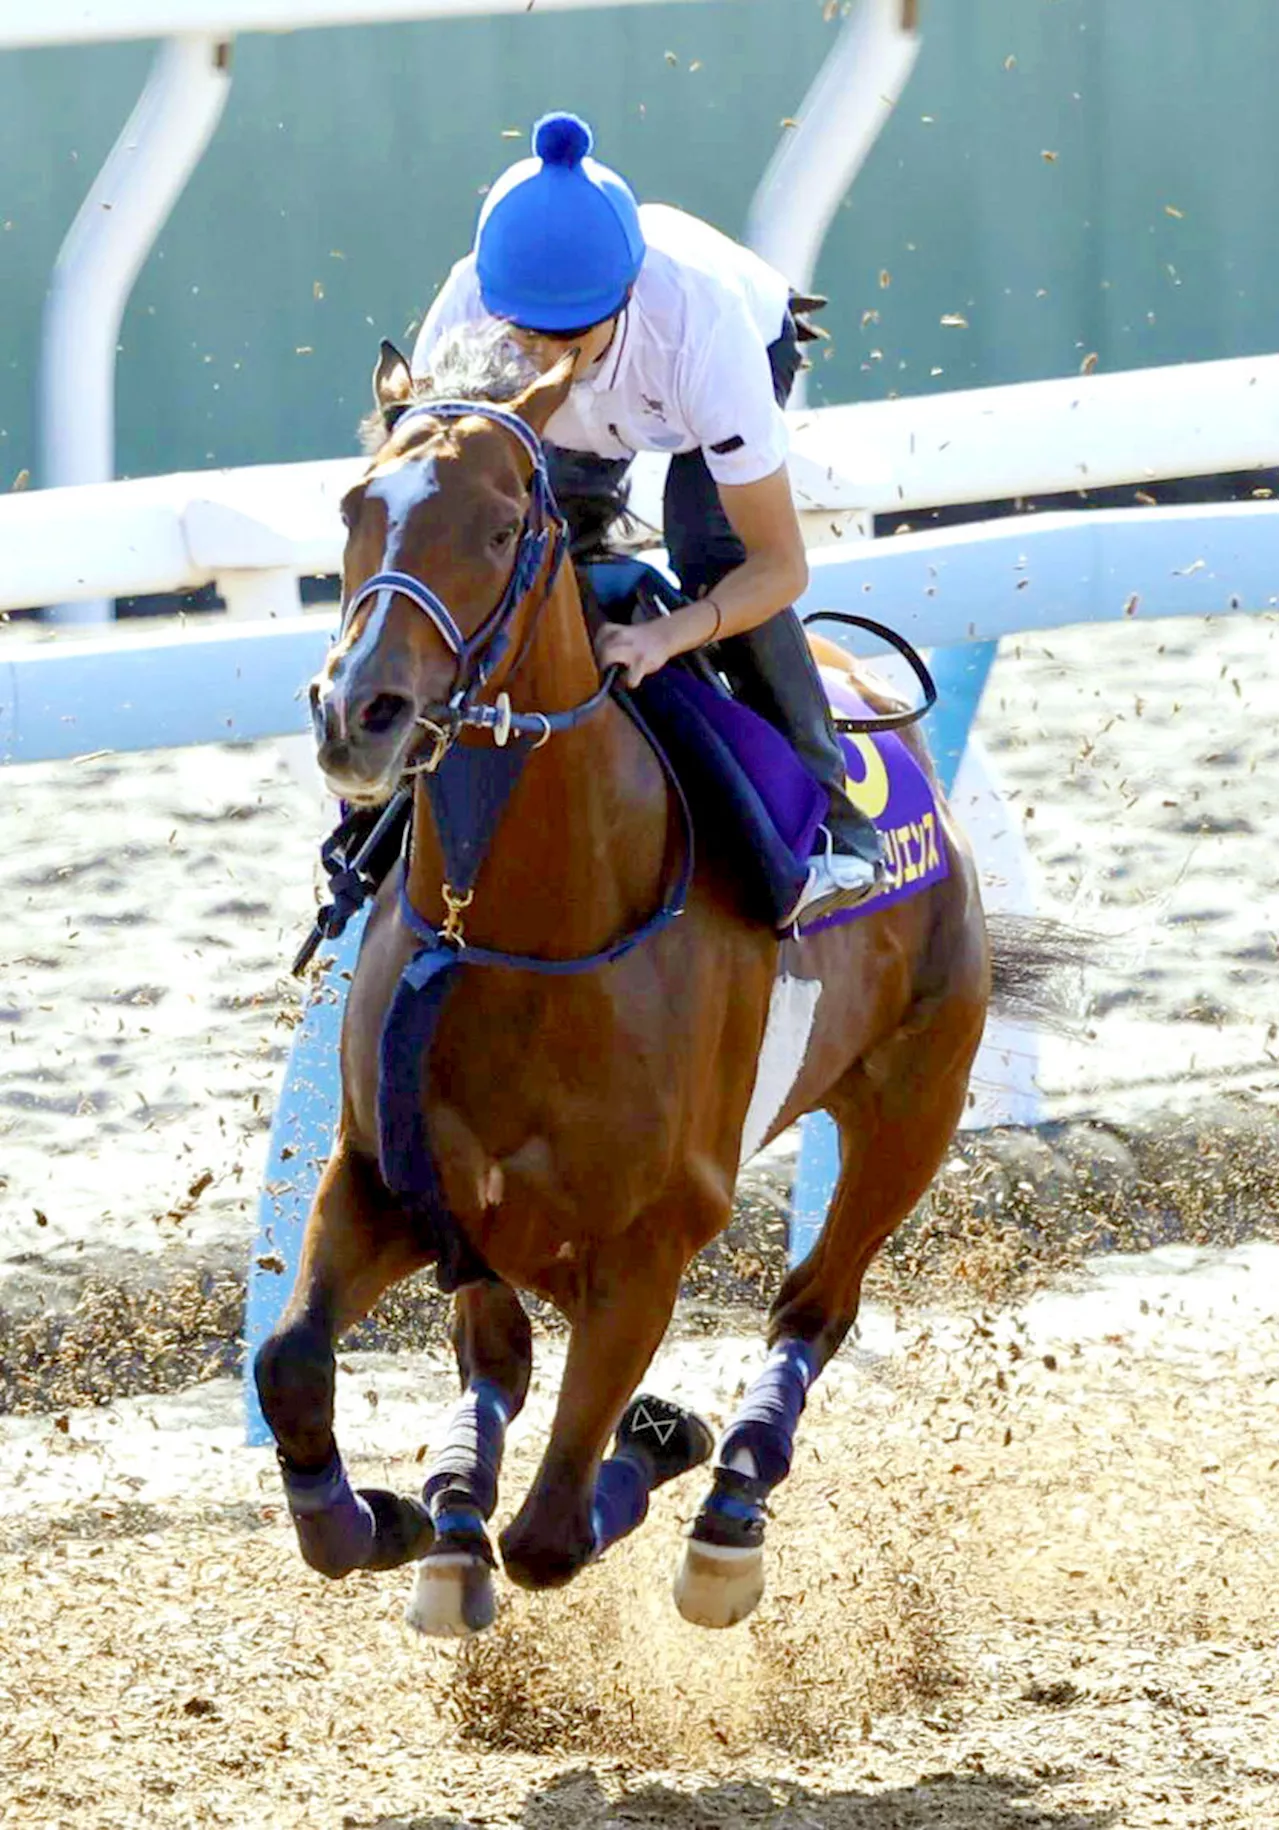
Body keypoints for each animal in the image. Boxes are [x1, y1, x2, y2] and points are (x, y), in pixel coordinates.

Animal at [252, 336, 988, 1639]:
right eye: (352, 508)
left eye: (502, 527)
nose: (358, 713)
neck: (515, 930)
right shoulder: (386, 1176)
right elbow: (288, 1365)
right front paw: (375, 1518)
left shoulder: (649, 1247)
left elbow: (552, 1529)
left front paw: (655, 1437)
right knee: (492, 1361)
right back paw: (449, 1519)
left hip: (914, 1105)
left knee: (814, 1305)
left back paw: (726, 1512)